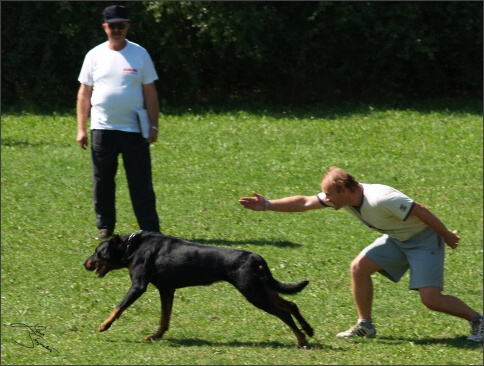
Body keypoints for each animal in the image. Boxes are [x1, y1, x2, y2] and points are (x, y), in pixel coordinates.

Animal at [83, 230, 314, 348]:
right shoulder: (167, 290)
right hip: (263, 288)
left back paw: (301, 339)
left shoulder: (138, 286)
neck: (131, 246)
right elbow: (164, 318)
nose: (84, 263)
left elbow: (118, 308)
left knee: (284, 312)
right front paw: (156, 336)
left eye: (97, 252)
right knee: (291, 304)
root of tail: (254, 257)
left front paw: (104, 326)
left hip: (254, 293)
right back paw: (308, 330)